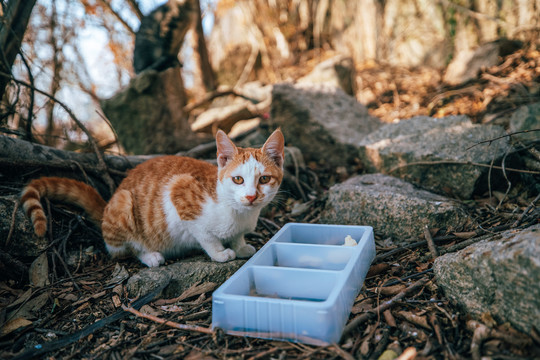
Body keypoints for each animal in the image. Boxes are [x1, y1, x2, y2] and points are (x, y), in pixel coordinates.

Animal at [20, 129, 284, 268]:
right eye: (238, 179)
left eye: (264, 179)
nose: (251, 196)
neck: (238, 213)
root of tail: (107, 206)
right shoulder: (179, 192)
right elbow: (206, 236)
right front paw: (220, 253)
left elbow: (237, 236)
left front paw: (239, 245)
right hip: (124, 204)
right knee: (123, 250)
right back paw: (151, 256)